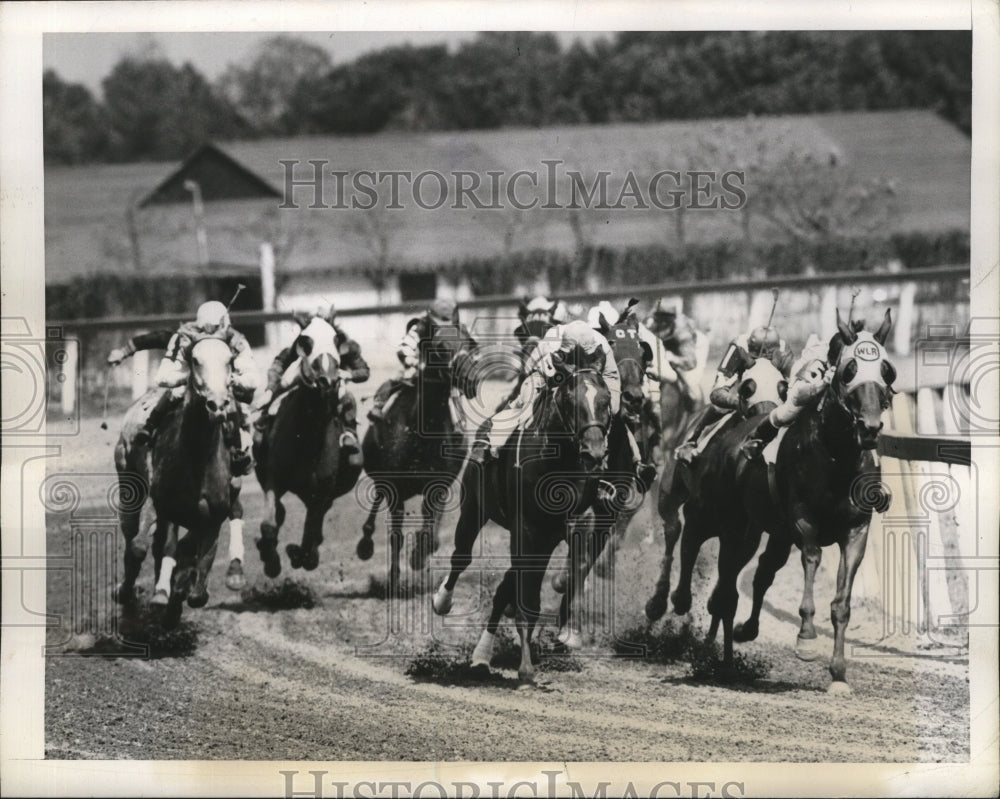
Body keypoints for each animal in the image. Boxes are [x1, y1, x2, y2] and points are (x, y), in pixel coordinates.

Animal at [254, 334, 364, 580]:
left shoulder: (320, 492)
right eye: (313, 363)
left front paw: (298, 554)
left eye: (336, 362)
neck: (307, 438)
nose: (328, 383)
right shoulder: (274, 478)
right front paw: (271, 562)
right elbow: (268, 525)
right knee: (281, 513)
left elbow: (309, 532)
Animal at [430, 346, 608, 684]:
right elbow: (526, 597)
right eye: (570, 400)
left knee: (504, 588)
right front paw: (526, 670)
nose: (594, 453)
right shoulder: (526, 528)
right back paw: (444, 603)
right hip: (474, 506)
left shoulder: (566, 527)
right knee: (462, 556)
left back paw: (482, 655)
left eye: (605, 400)